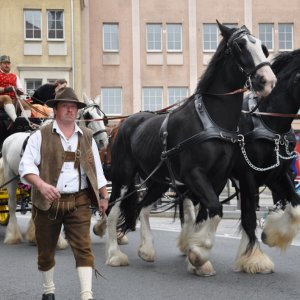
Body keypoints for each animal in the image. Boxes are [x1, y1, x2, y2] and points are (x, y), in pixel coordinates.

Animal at [0, 95, 108, 247]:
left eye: (103, 116)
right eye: (88, 115)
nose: (104, 141)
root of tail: (9, 138)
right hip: (11, 176)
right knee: (12, 204)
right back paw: (13, 236)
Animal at [105, 20, 276, 276]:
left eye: (263, 47)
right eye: (240, 46)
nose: (268, 81)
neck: (211, 119)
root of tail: (125, 123)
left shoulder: (217, 179)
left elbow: (207, 215)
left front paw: (197, 255)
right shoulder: (194, 174)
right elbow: (215, 209)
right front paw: (198, 254)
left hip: (158, 181)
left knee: (143, 208)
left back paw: (146, 249)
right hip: (123, 177)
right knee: (112, 209)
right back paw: (115, 254)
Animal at [230, 49, 300, 274]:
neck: (269, 121)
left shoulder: (278, 175)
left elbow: (295, 206)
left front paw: (271, 235)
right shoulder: (247, 176)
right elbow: (249, 219)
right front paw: (254, 259)